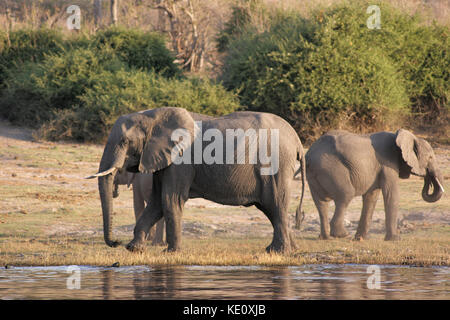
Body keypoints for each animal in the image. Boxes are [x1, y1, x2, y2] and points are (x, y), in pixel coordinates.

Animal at [87, 107, 306, 252]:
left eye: (125, 141)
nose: (116, 242)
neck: (150, 116)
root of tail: (297, 141)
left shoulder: (181, 160)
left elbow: (170, 200)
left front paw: (171, 253)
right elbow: (157, 202)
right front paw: (134, 249)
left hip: (275, 165)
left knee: (275, 204)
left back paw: (278, 251)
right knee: (272, 209)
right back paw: (289, 250)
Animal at [304, 129, 444, 241]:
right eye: (430, 158)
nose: (428, 179)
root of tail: (310, 155)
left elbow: (371, 197)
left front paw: (361, 239)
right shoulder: (388, 163)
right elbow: (391, 194)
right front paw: (395, 239)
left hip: (314, 174)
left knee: (321, 203)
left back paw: (325, 238)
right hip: (332, 168)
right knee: (346, 195)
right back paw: (342, 235)